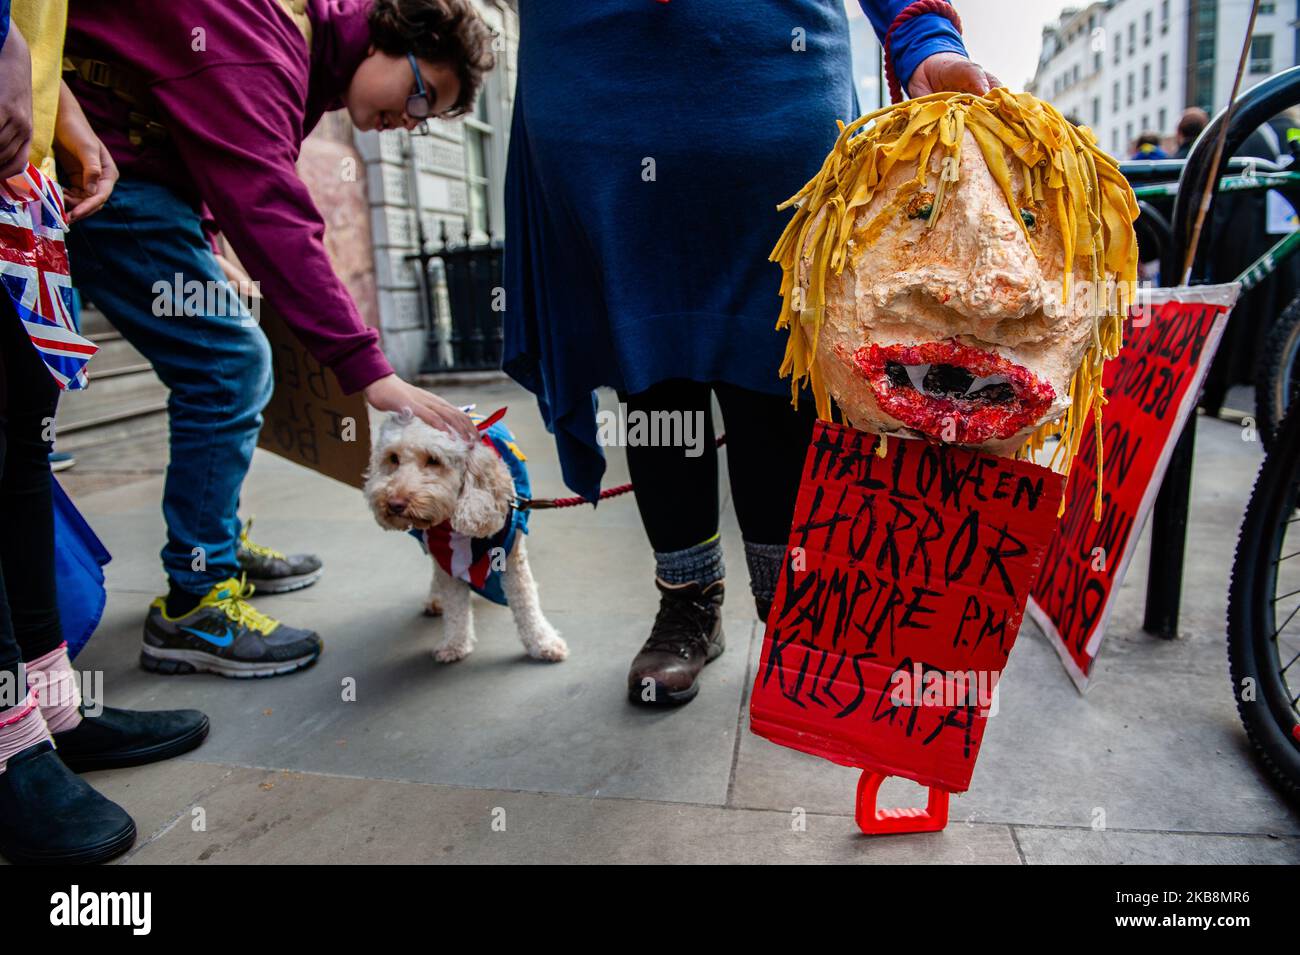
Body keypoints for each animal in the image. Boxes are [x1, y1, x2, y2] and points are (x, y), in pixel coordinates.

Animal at [366, 410, 569, 665]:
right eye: (393, 458)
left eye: (434, 460)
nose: (394, 504)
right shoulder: (446, 556)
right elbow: (455, 604)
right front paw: (455, 644)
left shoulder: (511, 554)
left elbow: (525, 600)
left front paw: (543, 642)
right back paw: (436, 599)